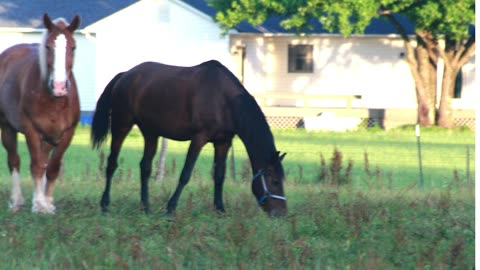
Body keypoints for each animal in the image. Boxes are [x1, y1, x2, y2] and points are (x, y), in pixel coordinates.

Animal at [0, 14, 80, 213]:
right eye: (48, 47)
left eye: (73, 47)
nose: (59, 87)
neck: (55, 101)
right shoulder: (31, 131)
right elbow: (36, 166)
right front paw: (39, 205)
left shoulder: (67, 133)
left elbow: (52, 168)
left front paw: (47, 202)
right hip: (7, 127)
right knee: (14, 161)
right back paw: (17, 201)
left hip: (49, 137)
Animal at [93, 60, 288, 216]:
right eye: (275, 181)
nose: (281, 213)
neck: (224, 100)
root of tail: (124, 75)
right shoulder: (199, 139)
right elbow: (185, 174)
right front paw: (171, 208)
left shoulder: (223, 142)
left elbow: (219, 176)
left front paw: (220, 209)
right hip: (121, 125)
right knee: (111, 163)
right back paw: (104, 205)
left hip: (151, 133)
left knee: (145, 167)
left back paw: (145, 207)